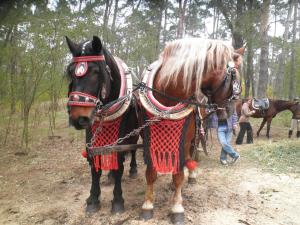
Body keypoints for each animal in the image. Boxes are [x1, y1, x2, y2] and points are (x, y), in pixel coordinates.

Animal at [65, 36, 139, 214]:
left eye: (95, 72)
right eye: (71, 72)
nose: (77, 117)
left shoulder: (122, 135)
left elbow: (119, 163)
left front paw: (117, 200)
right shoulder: (91, 132)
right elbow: (94, 165)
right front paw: (93, 199)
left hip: (134, 133)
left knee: (132, 150)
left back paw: (133, 169)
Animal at [139, 38, 245, 223]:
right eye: (235, 79)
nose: (231, 111)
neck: (167, 92)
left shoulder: (184, 139)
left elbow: (179, 175)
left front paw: (177, 207)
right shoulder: (147, 139)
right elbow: (151, 172)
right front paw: (148, 204)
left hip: (194, 135)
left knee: (191, 155)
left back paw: (191, 176)